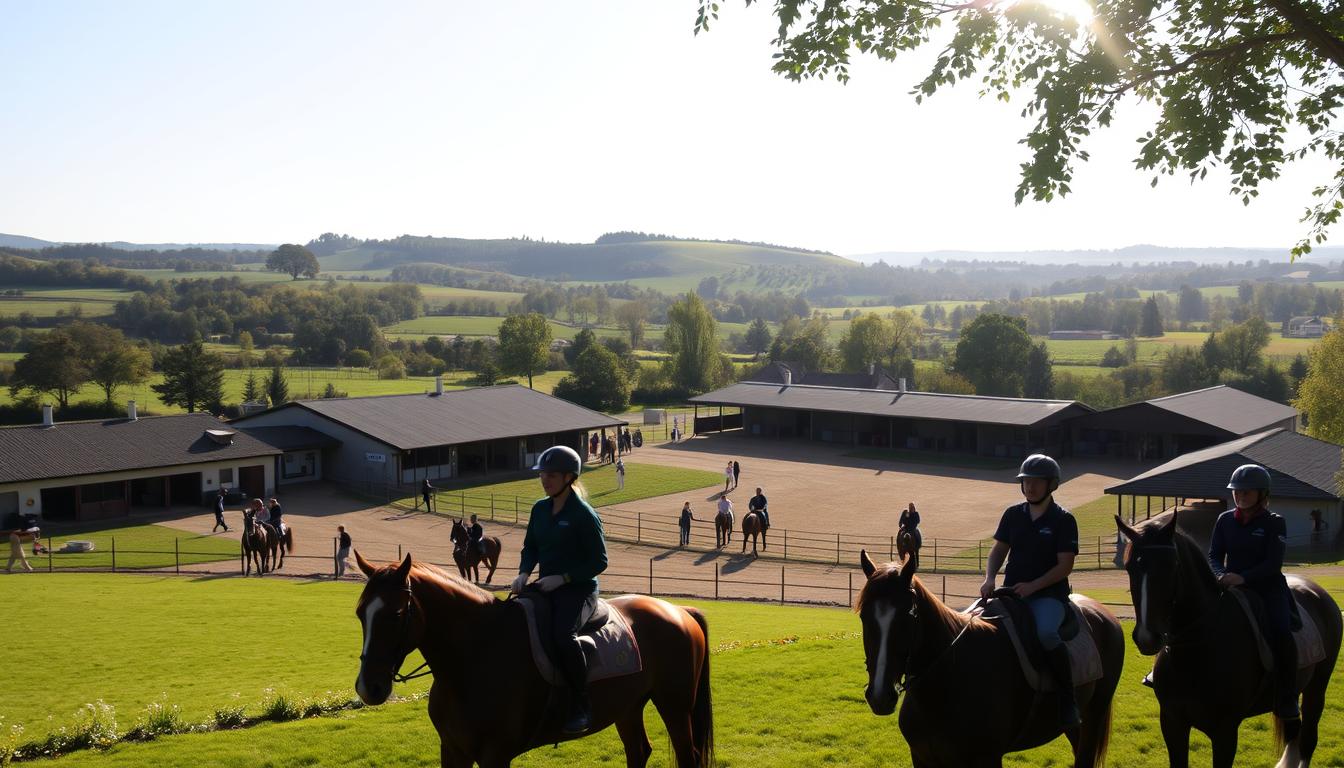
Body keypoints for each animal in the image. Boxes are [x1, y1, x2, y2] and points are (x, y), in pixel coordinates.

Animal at [354, 554, 715, 768]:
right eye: (360, 613)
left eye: (395, 615)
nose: (368, 687)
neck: (475, 653)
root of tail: (679, 610)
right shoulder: (453, 750)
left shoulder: (495, 755)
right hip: (627, 706)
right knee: (639, 751)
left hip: (674, 706)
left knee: (688, 755)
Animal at [860, 548, 1123, 763]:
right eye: (864, 616)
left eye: (908, 616)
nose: (880, 696)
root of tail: (1103, 614)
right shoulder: (923, 756)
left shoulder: (987, 758)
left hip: (1094, 715)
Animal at [1112, 516, 1344, 768]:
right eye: (1130, 567)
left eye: (1171, 565)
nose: (1147, 637)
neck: (1195, 651)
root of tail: (1319, 593)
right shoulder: (1173, 723)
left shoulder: (1225, 732)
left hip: (1317, 687)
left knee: (1308, 738)